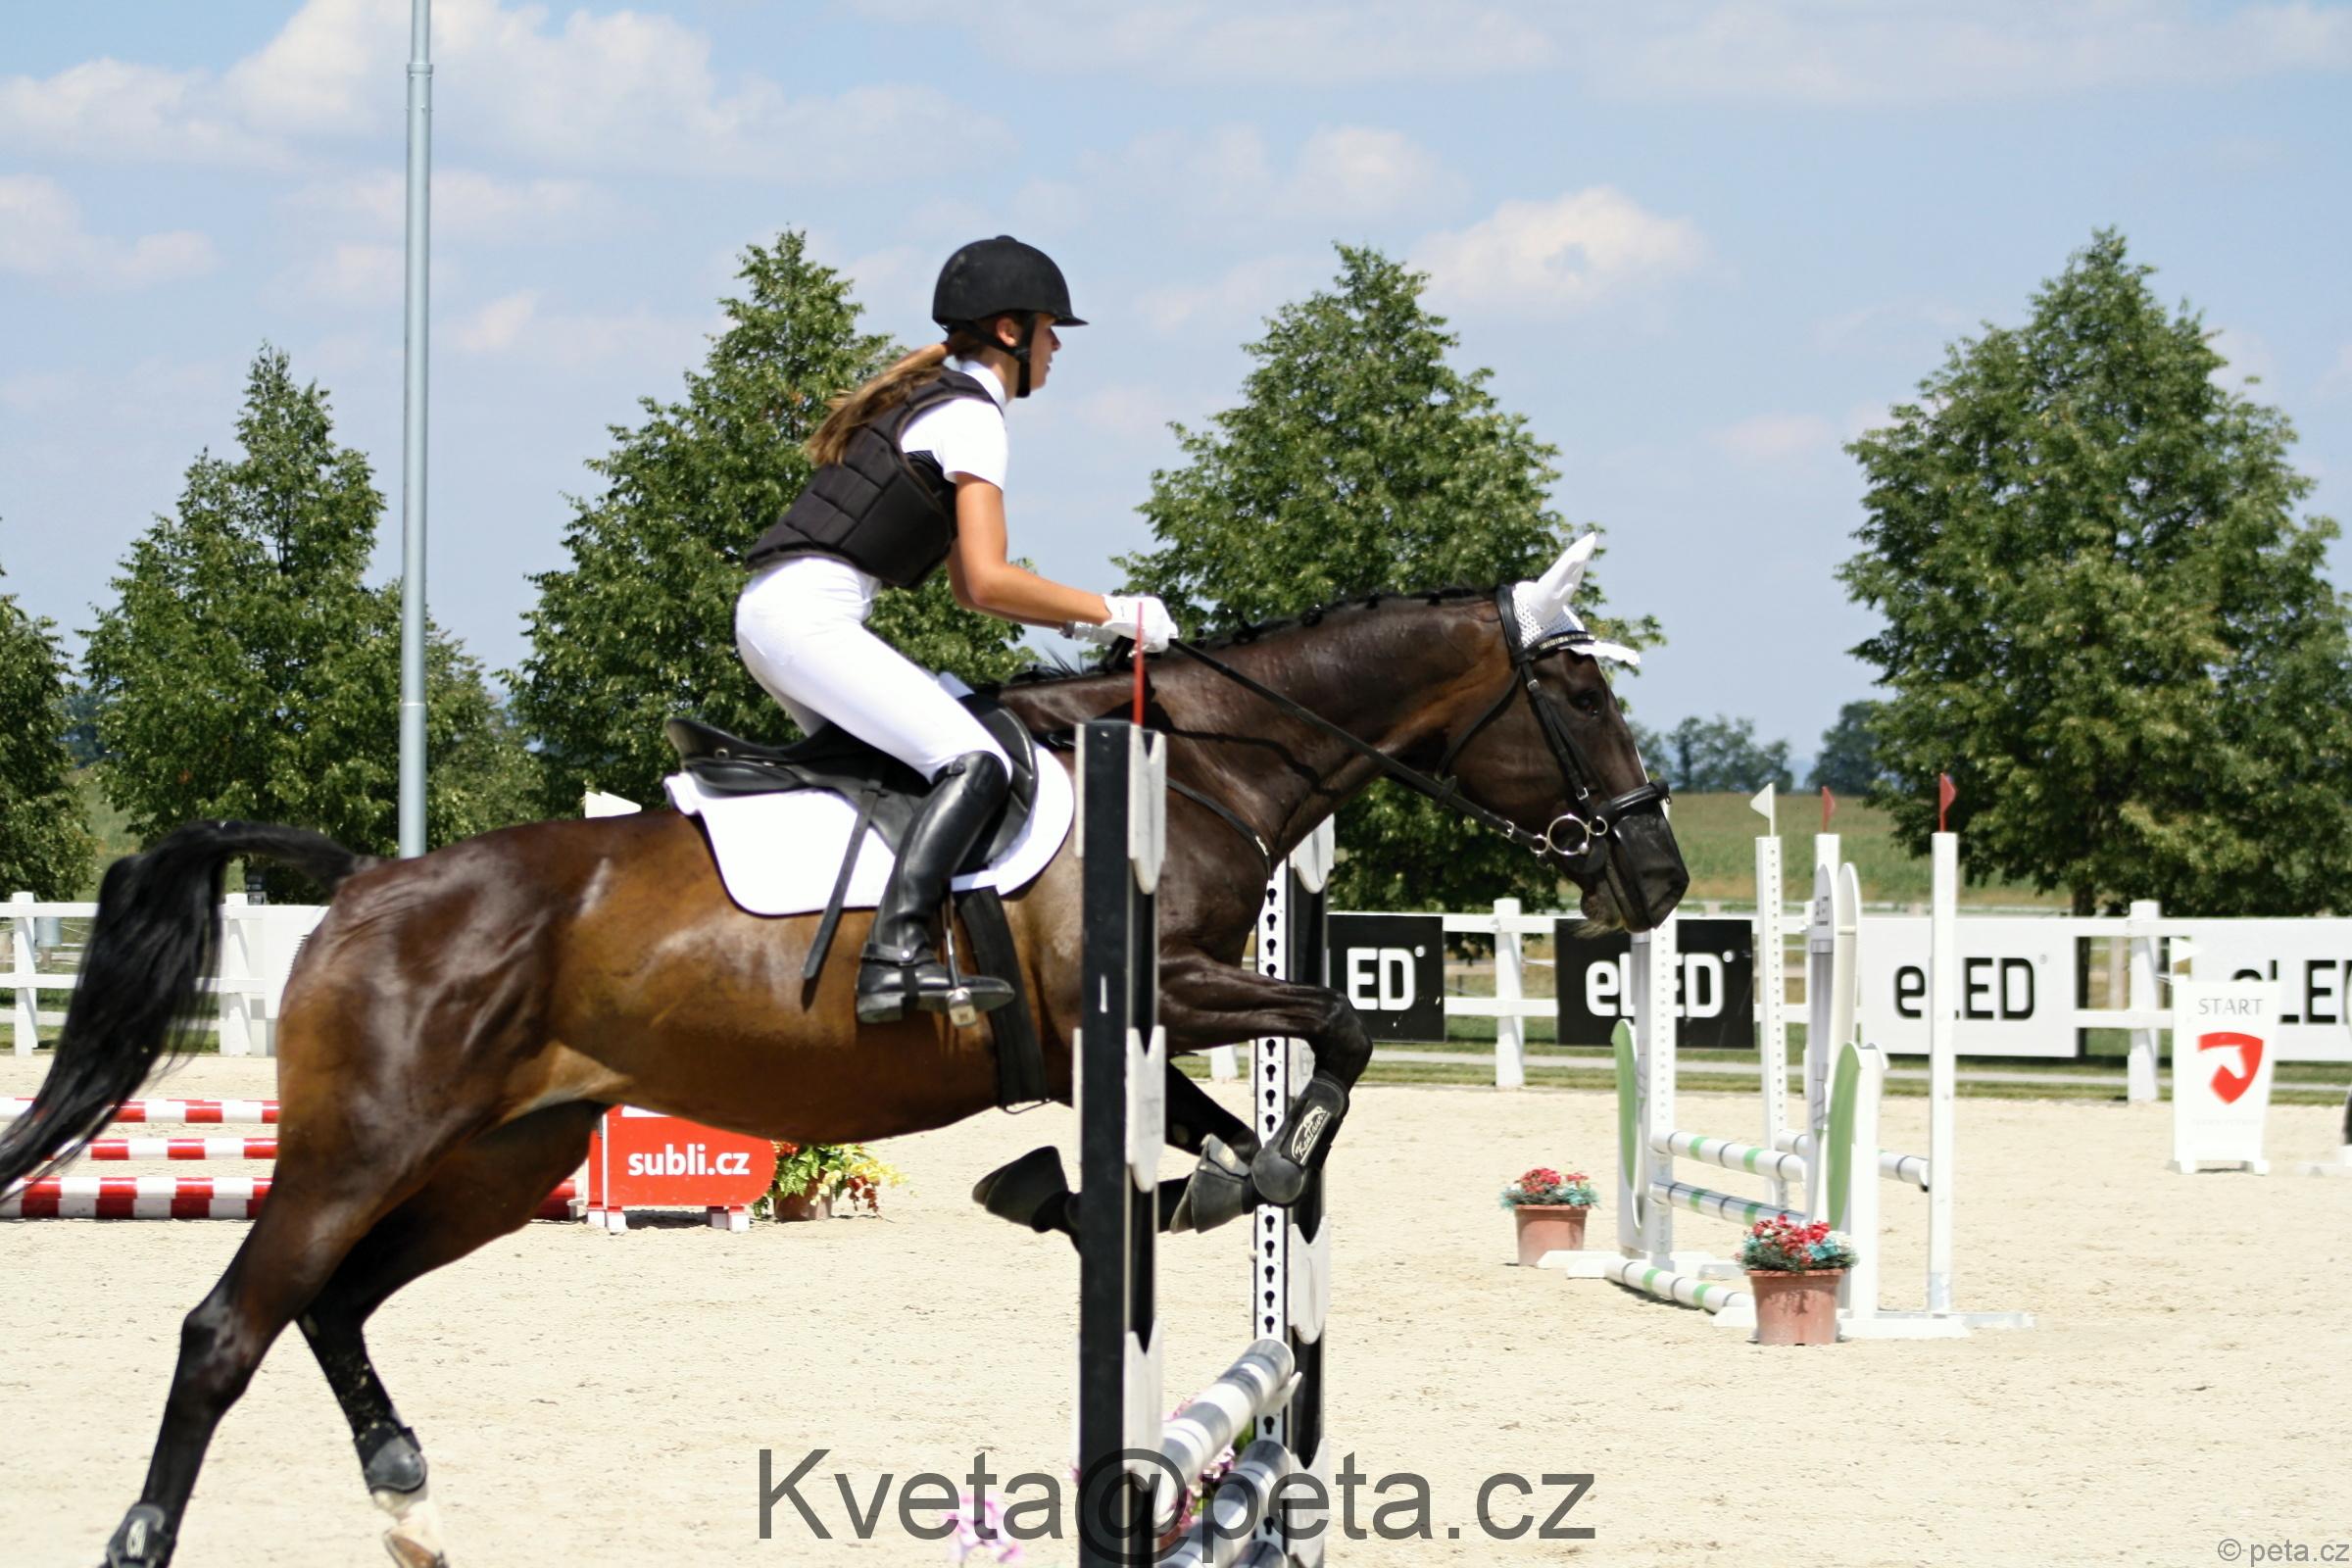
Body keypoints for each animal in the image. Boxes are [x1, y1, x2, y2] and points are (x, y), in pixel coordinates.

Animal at [0, 550, 1686, 1568]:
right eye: (1581, 692)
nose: (1659, 879)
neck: (1199, 759)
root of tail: (361, 881)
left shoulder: (1132, 1028)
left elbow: (1216, 1130)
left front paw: (1134, 1190)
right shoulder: (1154, 993)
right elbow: (1335, 1032)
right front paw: (1224, 1174)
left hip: (499, 1160)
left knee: (336, 1304)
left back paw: (407, 1489)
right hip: (365, 1146)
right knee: (228, 1326)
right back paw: (146, 1537)